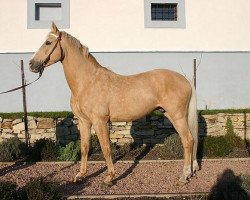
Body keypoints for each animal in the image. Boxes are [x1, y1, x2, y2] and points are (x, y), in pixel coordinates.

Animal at [29, 22, 199, 186]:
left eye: (48, 42)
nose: (32, 64)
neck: (87, 82)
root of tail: (185, 79)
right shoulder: (84, 122)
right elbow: (84, 148)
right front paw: (81, 175)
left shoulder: (100, 122)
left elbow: (106, 148)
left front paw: (110, 177)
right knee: (191, 140)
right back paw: (189, 172)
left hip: (177, 116)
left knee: (188, 141)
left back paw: (184, 177)